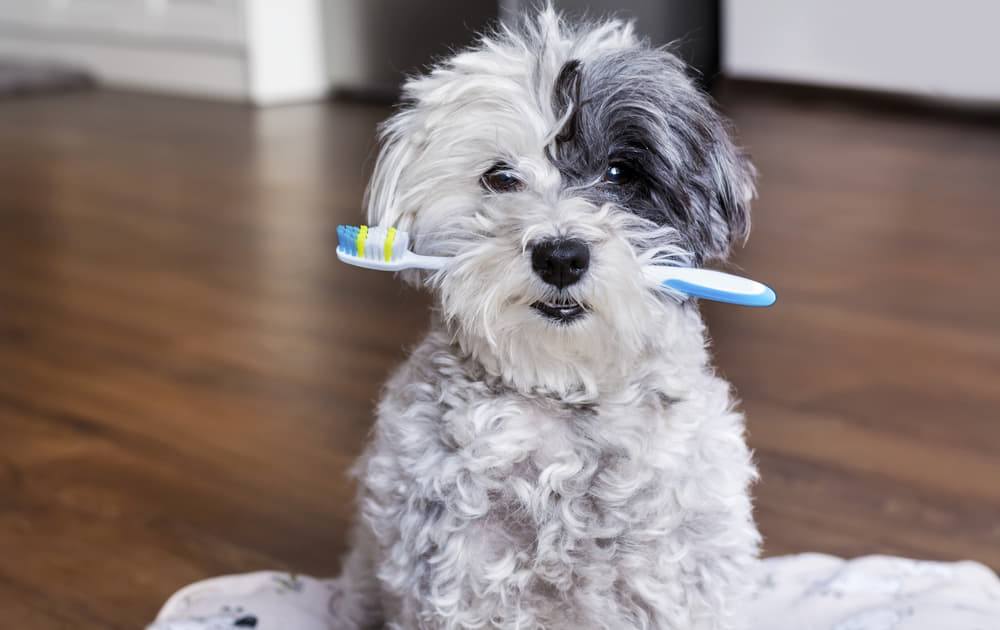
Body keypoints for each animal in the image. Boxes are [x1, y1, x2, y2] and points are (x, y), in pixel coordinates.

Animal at [332, 6, 760, 630]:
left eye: (619, 172)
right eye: (499, 177)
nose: (561, 255)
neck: (564, 392)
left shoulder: (683, 579)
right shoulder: (461, 574)